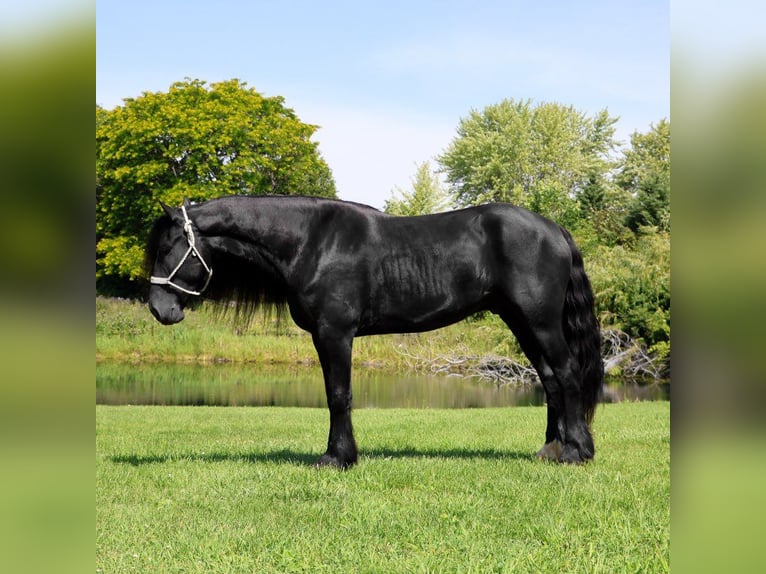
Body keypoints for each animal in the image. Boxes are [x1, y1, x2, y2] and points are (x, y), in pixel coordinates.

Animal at [145, 195, 603, 468]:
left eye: (168, 247)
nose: (158, 309)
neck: (311, 241)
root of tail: (553, 229)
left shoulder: (334, 333)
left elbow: (338, 395)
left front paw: (338, 458)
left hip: (539, 321)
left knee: (565, 374)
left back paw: (576, 452)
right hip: (521, 321)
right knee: (549, 379)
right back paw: (551, 448)